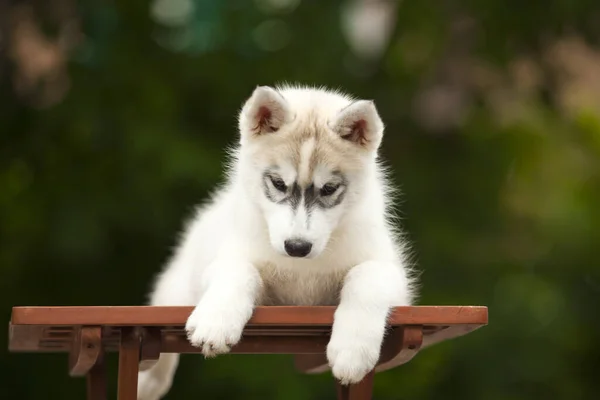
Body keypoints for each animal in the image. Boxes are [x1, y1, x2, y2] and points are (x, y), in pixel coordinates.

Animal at [138, 85, 414, 400]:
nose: (297, 247)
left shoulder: (391, 272)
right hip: (178, 287)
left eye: (329, 189)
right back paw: (148, 381)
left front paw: (353, 349)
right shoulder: (228, 258)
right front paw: (216, 322)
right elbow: (240, 271)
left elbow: (366, 276)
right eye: (279, 184)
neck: (301, 271)